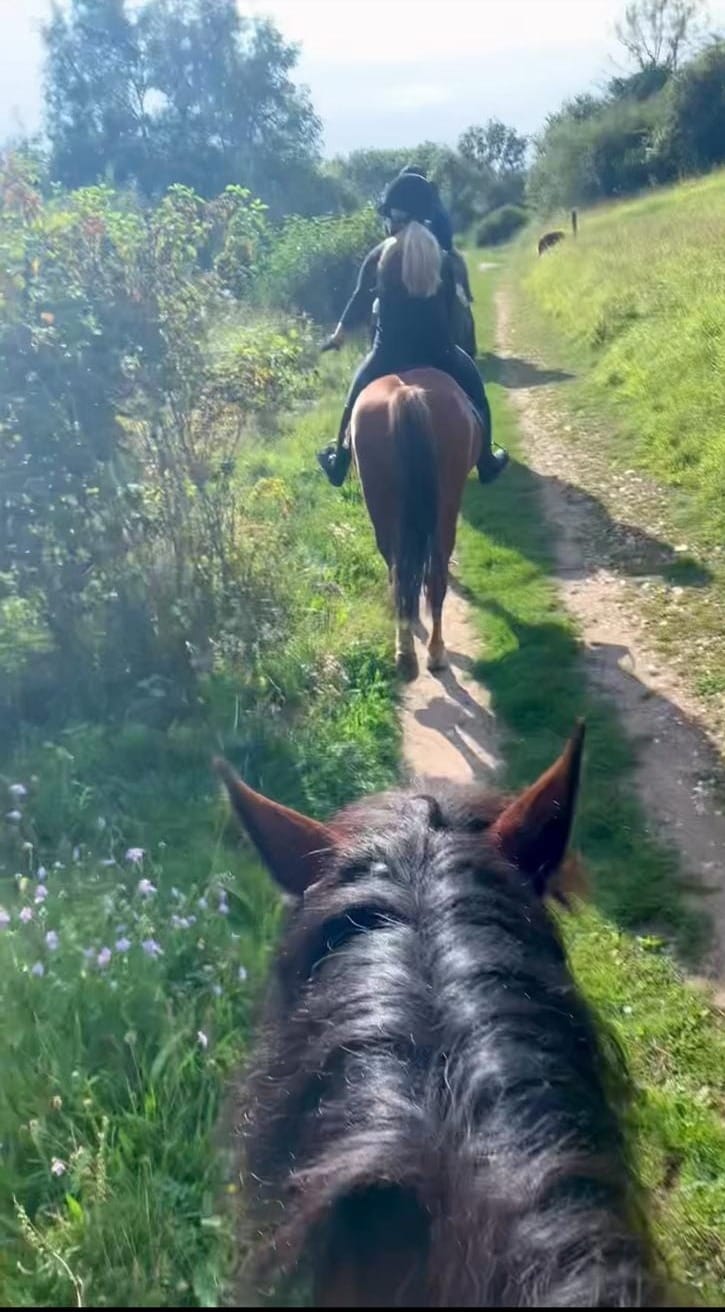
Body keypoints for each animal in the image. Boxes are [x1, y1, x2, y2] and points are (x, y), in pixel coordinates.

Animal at [350, 368, 481, 679]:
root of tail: (405, 394)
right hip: (443, 509)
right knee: (431, 577)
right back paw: (433, 652)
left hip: (384, 511)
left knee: (400, 573)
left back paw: (407, 652)